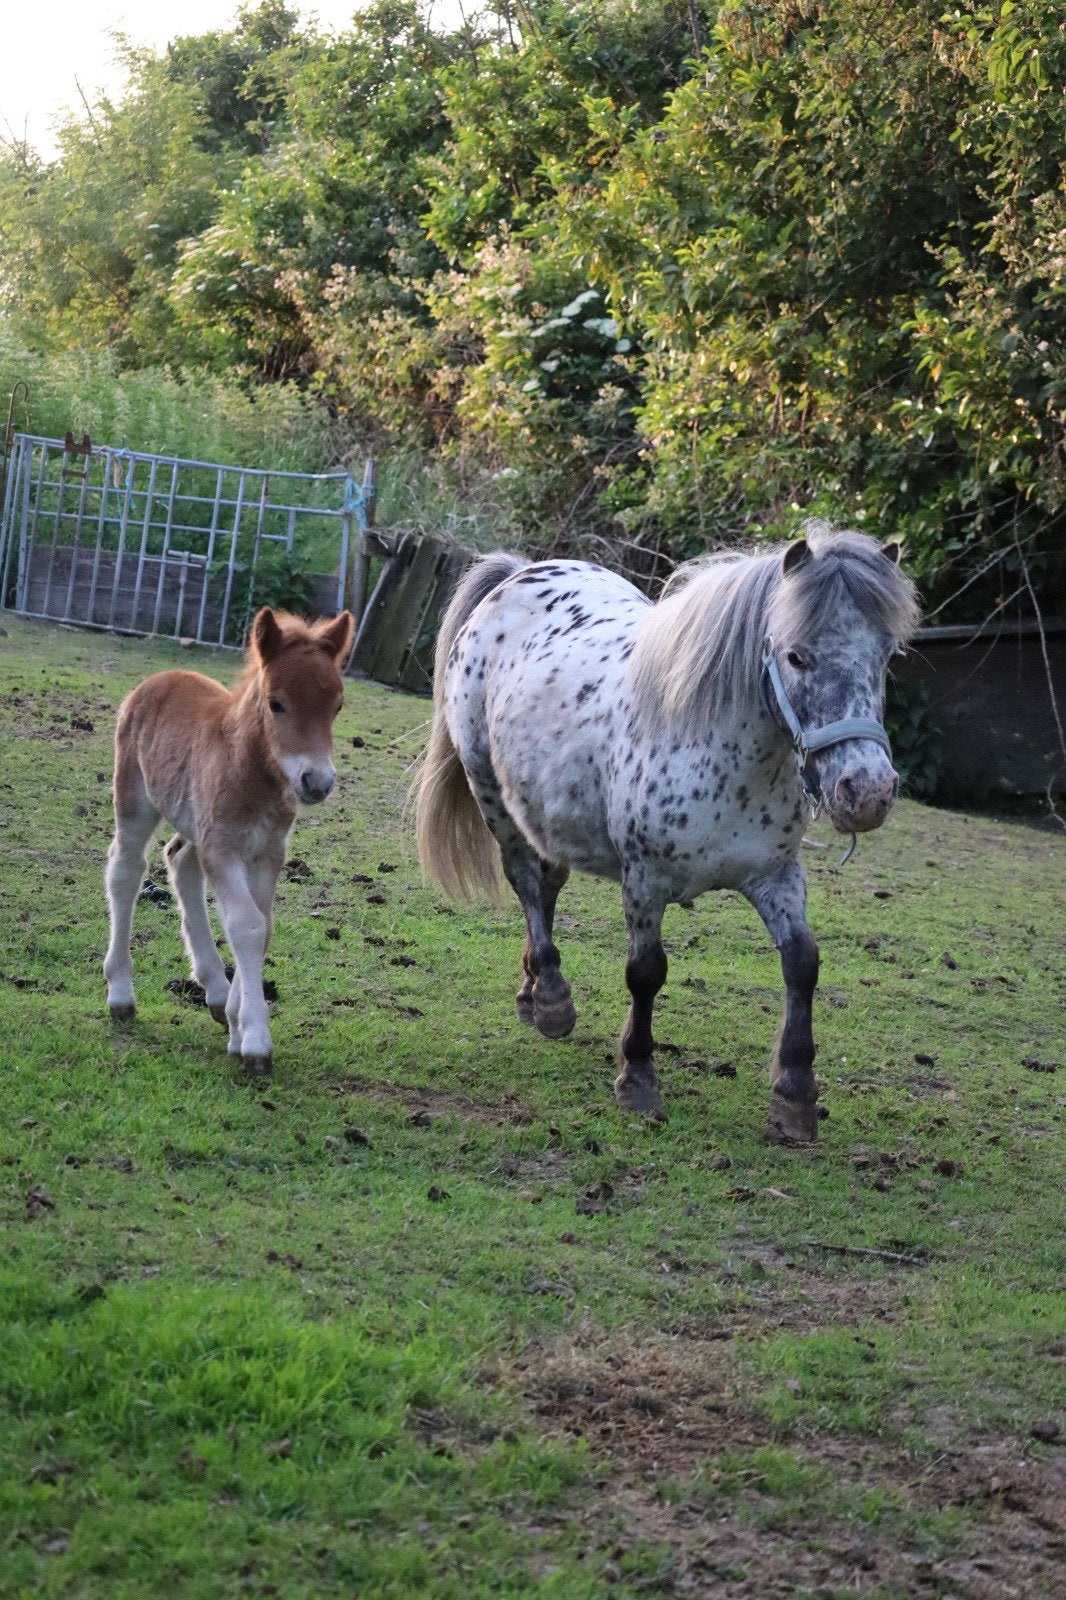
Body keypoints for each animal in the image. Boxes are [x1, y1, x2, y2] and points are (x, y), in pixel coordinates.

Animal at [104, 606, 354, 1073]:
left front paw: (237, 1025)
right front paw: (255, 1039)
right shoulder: (223, 848)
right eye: (276, 703)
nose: (317, 782)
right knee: (126, 871)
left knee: (179, 859)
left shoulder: (267, 852)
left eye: (337, 706)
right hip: (135, 800)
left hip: (194, 823)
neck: (252, 773)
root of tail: (160, 678)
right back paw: (121, 995)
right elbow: (246, 924)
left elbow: (262, 926)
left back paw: (216, 993)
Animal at [414, 526, 919, 1141]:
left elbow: (803, 963)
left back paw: (533, 989)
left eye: (887, 656)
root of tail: (516, 574)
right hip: (492, 794)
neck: (719, 746)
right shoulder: (644, 879)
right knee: (525, 882)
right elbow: (646, 972)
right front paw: (637, 1076)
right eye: (796, 656)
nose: (867, 792)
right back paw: (553, 998)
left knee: (548, 883)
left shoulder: (776, 874)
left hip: (546, 810)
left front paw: (796, 1095)